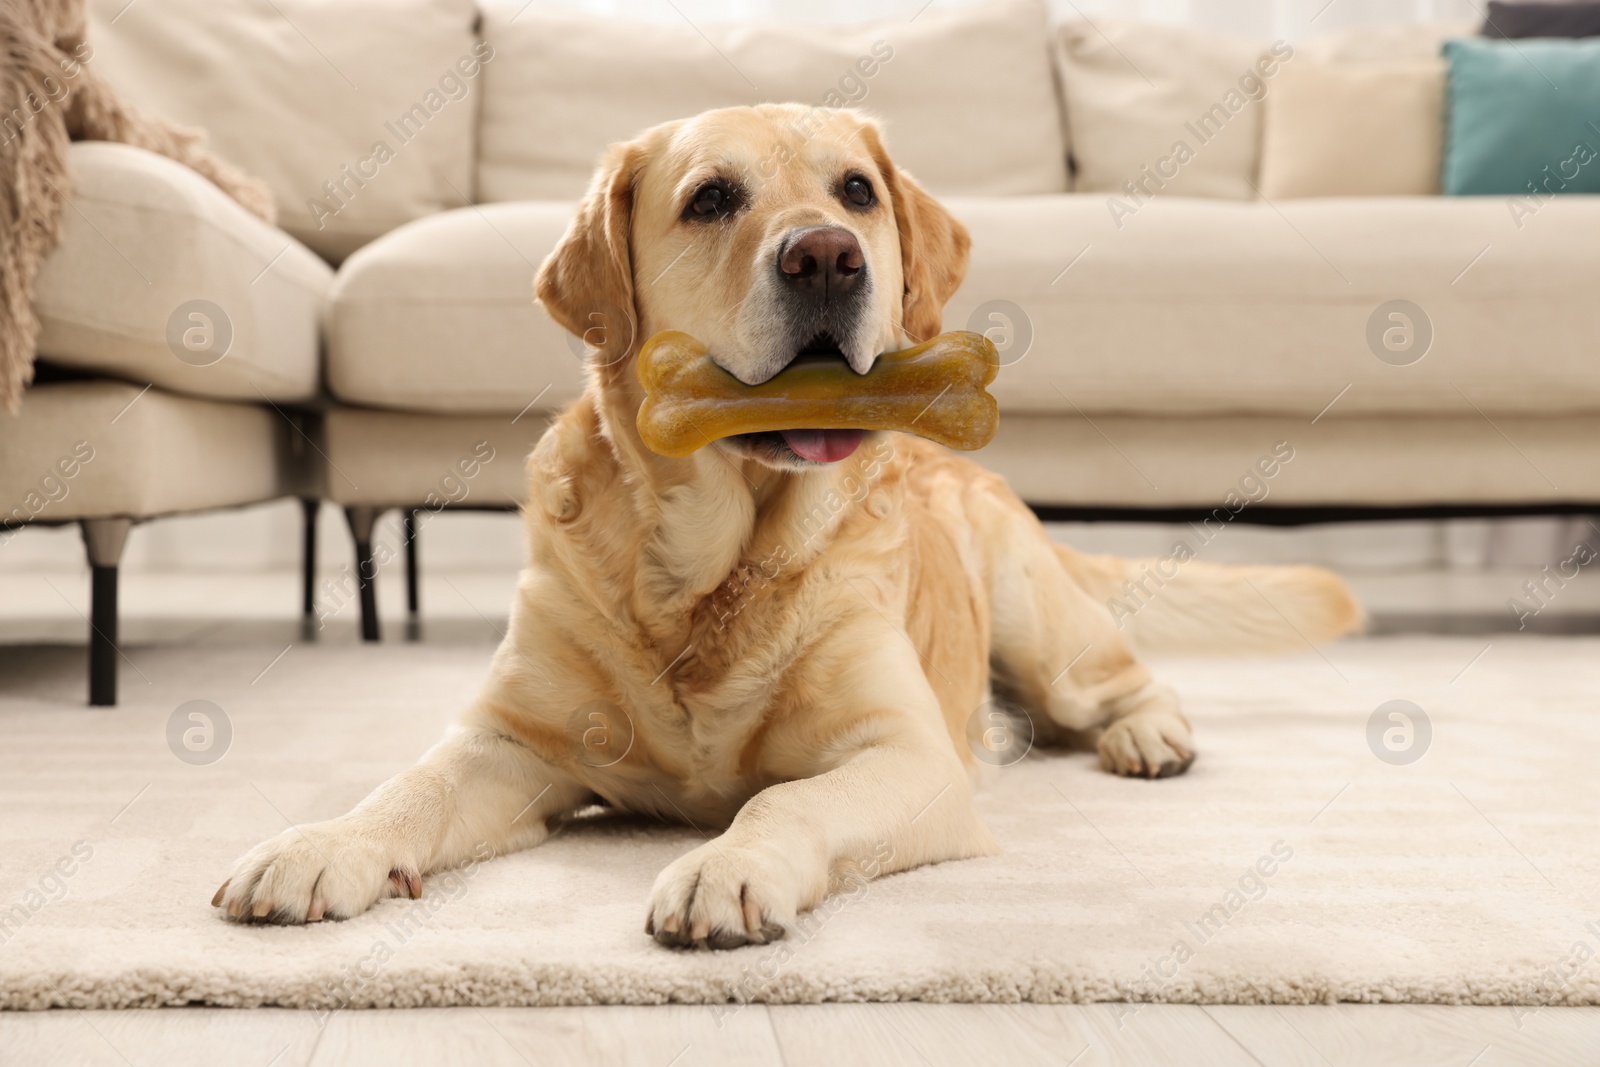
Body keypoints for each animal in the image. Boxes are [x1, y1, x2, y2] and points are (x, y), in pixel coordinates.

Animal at [216, 102, 1363, 953]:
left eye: (856, 191)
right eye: (710, 199)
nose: (825, 257)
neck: (709, 564)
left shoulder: (905, 755)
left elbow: (784, 803)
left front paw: (727, 864)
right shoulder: (510, 740)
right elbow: (408, 784)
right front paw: (321, 844)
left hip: (1039, 619)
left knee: (1122, 678)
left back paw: (1146, 734)